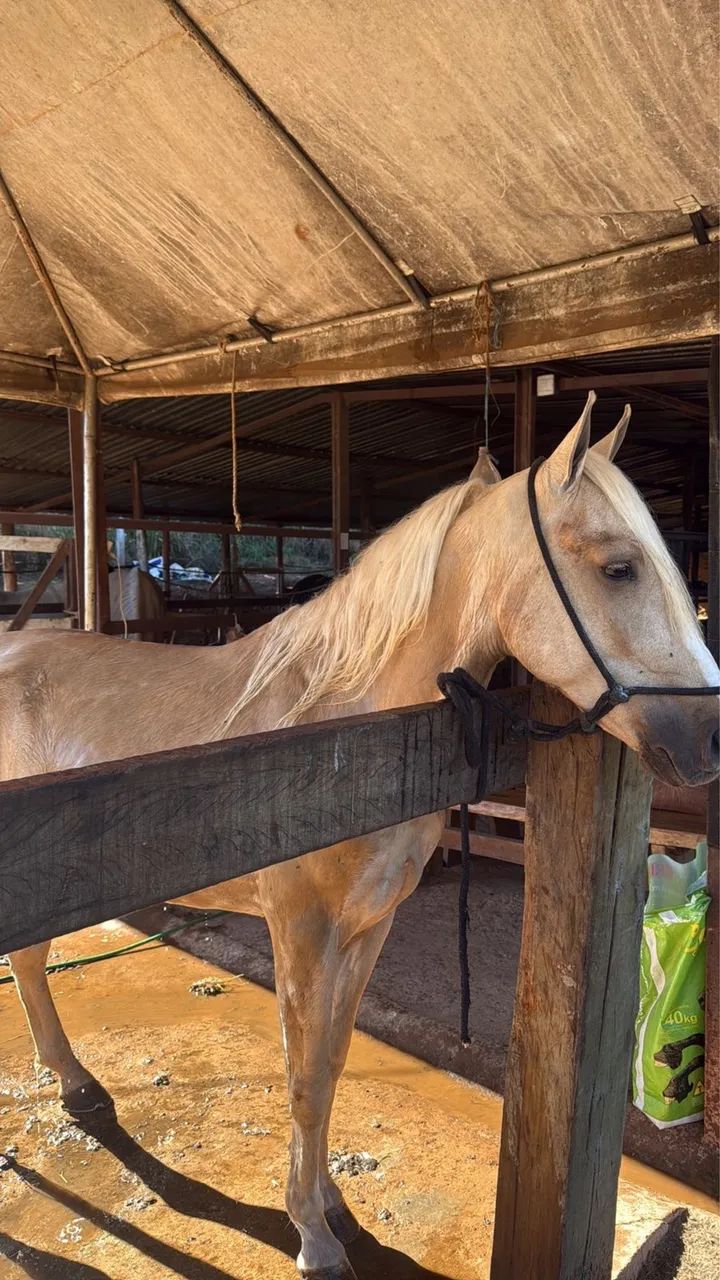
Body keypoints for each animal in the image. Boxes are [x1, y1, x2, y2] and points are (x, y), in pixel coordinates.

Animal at [2, 397, 718, 1280]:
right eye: (620, 568)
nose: (709, 737)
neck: (339, 727)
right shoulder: (300, 932)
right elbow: (304, 1078)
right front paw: (312, 1236)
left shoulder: (367, 928)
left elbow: (334, 1060)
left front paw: (330, 1206)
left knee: (29, 963)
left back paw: (76, 1086)